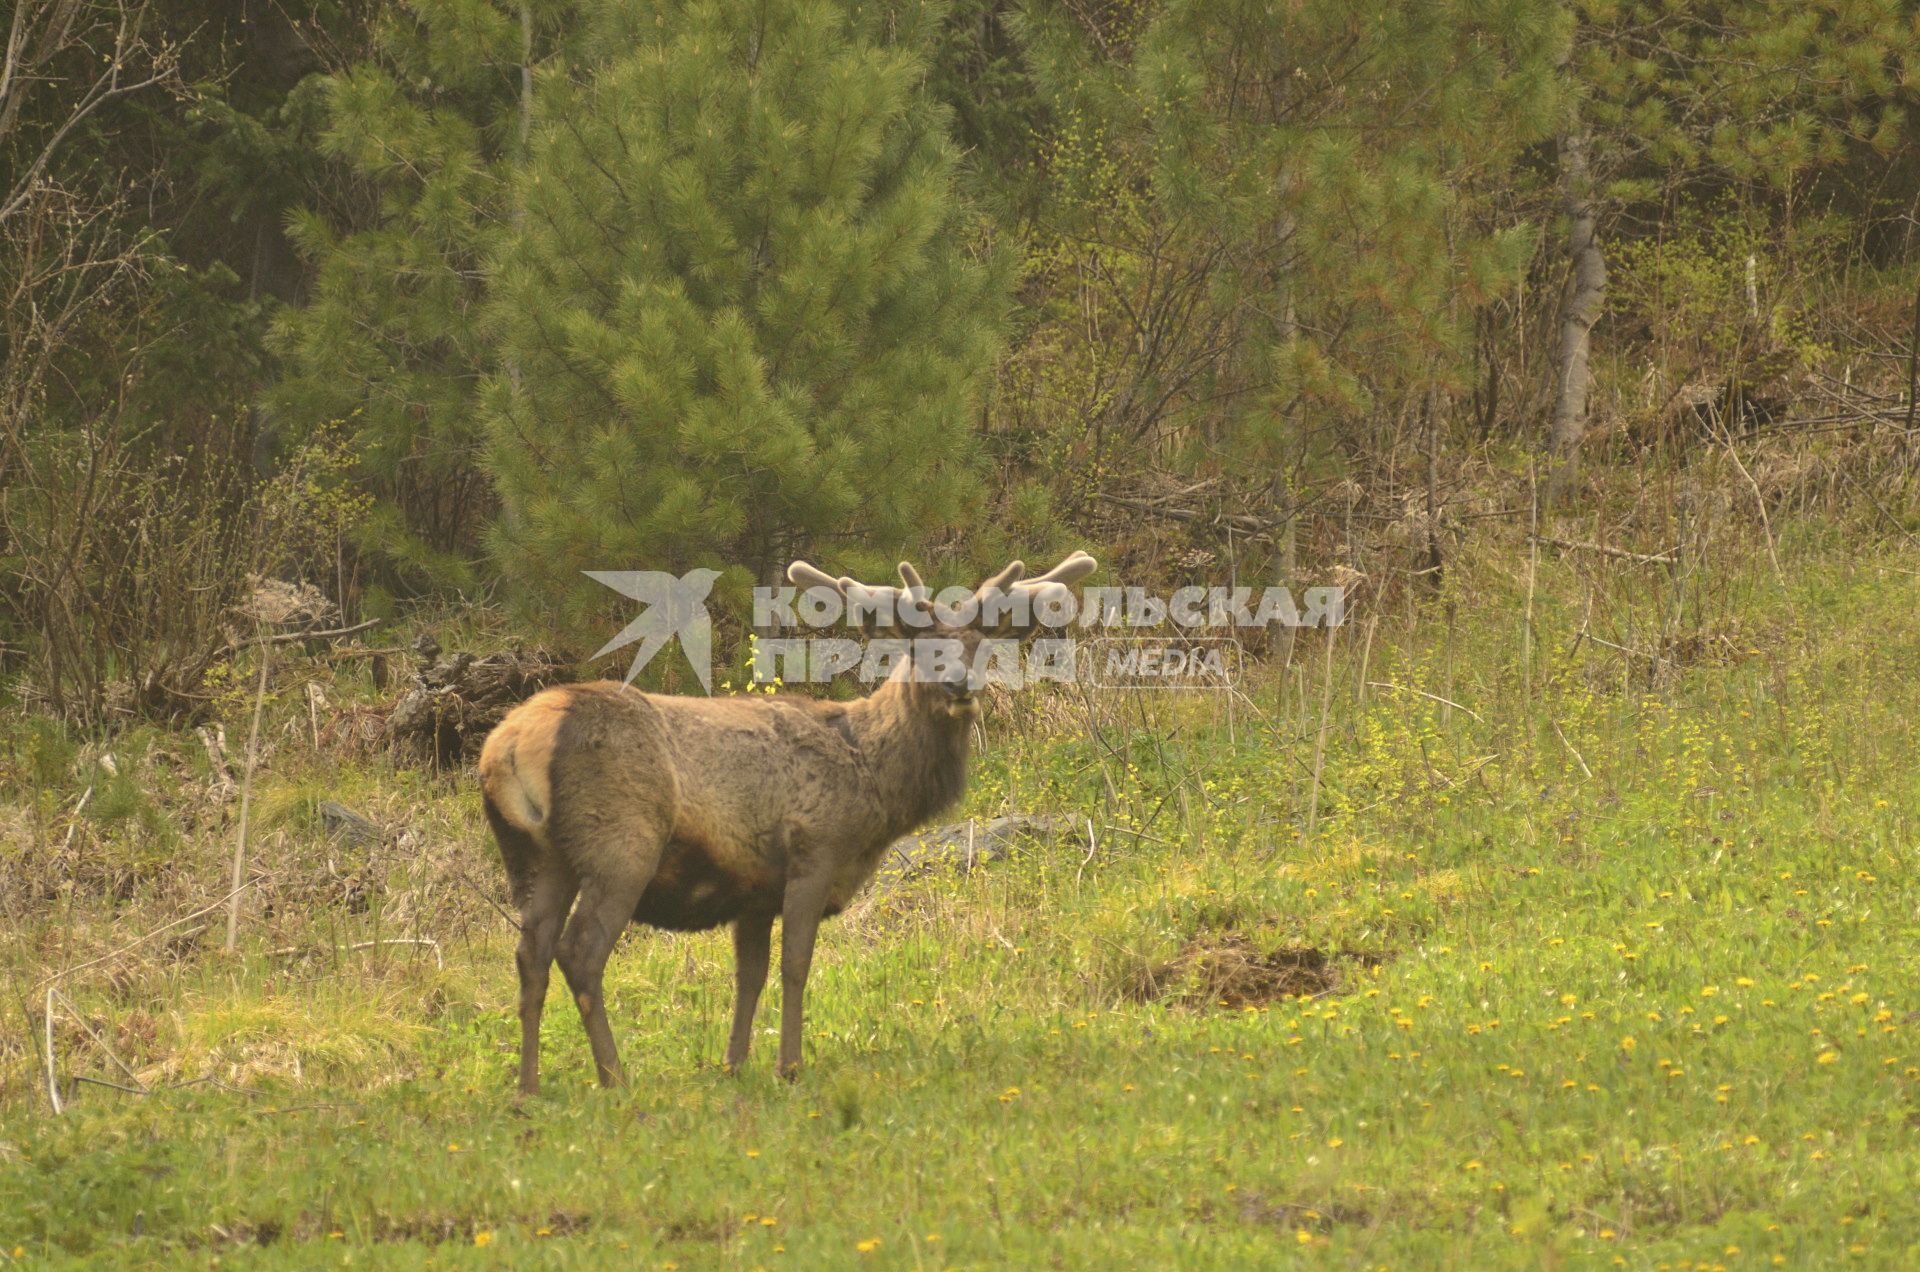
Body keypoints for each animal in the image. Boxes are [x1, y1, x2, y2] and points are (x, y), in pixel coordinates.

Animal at [478, 549, 1098, 1099]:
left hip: (537, 858)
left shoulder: (753, 889)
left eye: (979, 646)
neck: (871, 778)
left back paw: (527, 1090)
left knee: (530, 955)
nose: (959, 687)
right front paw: (789, 1067)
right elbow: (796, 965)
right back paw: (615, 1079)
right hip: (621, 844)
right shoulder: (813, 852)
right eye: (921, 648)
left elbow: (748, 975)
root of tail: (506, 746)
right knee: (581, 952)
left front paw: (733, 1064)